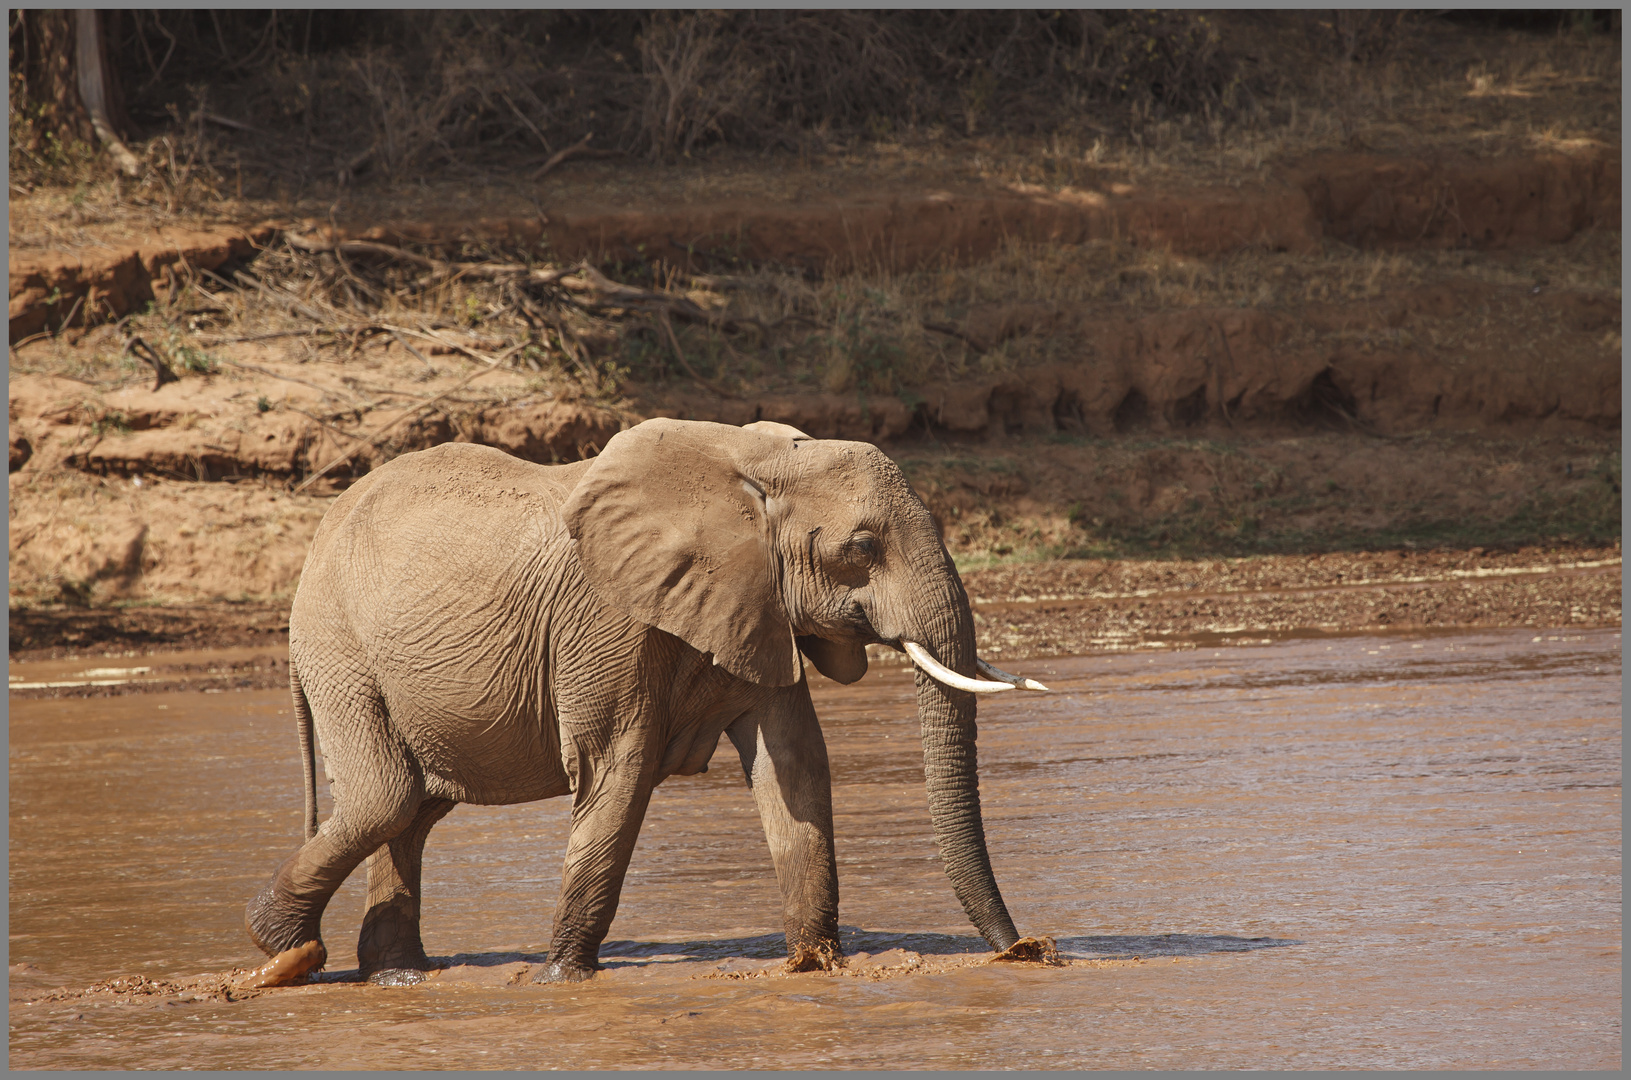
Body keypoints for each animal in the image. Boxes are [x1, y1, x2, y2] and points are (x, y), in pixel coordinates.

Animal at [239, 416, 1043, 991]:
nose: (1028, 951)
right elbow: (617, 769)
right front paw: (562, 979)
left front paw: (816, 965)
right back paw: (285, 952)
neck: (753, 466)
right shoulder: (606, 619)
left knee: (411, 814)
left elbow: (795, 766)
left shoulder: (756, 604)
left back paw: (395, 975)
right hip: (338, 647)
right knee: (386, 797)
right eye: (862, 547)